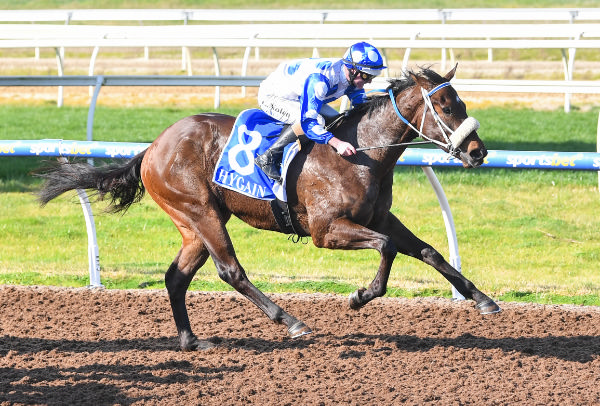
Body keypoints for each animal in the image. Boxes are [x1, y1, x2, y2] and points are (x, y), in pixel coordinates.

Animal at [35, 65, 500, 350]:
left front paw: (482, 300)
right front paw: (359, 297)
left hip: (194, 223)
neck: (360, 154)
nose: (478, 152)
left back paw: (191, 340)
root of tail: (153, 146)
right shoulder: (326, 231)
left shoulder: (379, 216)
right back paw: (291, 320)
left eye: (461, 102)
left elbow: (429, 251)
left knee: (176, 277)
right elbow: (386, 247)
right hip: (200, 211)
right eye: (445, 106)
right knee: (230, 271)